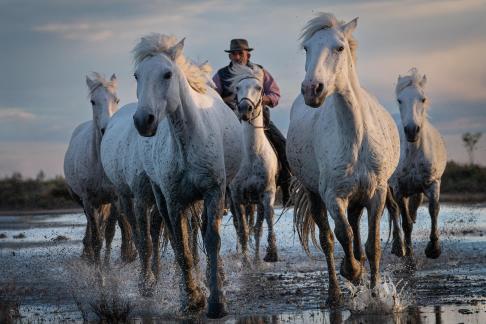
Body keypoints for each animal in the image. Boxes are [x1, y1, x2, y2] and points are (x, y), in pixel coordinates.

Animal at [64, 73, 136, 264]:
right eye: (93, 101)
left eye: (117, 99)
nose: (106, 128)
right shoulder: (88, 200)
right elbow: (97, 236)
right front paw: (96, 265)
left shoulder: (115, 199)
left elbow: (109, 233)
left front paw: (106, 265)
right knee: (91, 225)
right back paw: (87, 252)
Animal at [131, 34, 241, 318]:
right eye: (137, 75)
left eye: (167, 73)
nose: (143, 120)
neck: (186, 141)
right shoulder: (174, 201)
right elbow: (182, 247)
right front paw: (192, 298)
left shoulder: (214, 192)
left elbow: (211, 240)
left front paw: (216, 302)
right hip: (161, 198)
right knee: (179, 237)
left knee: (202, 234)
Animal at [286, 12, 400, 306]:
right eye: (307, 48)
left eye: (339, 47)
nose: (312, 89)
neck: (356, 138)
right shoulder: (332, 196)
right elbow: (342, 235)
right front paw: (352, 272)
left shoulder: (377, 193)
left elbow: (372, 245)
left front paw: (375, 294)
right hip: (315, 194)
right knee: (328, 238)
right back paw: (334, 293)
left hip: (359, 196)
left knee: (356, 228)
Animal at [388, 68, 448, 258]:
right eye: (399, 100)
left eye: (423, 99)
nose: (411, 130)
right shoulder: (398, 188)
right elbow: (405, 221)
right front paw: (407, 251)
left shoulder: (433, 183)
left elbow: (433, 210)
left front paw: (434, 248)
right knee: (393, 211)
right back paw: (397, 246)